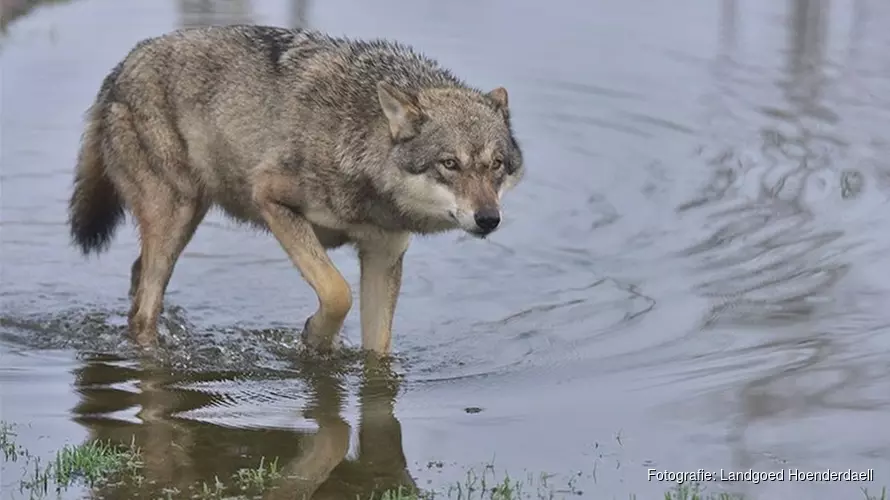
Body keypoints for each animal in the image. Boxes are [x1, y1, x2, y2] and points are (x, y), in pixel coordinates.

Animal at [71, 24, 528, 356]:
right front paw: (315, 338)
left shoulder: (383, 256)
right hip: (175, 217)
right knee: (143, 310)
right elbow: (337, 291)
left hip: (184, 223)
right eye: (450, 164)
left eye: (495, 166)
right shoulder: (272, 201)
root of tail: (123, 65)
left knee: (138, 280)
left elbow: (378, 351)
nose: (489, 219)